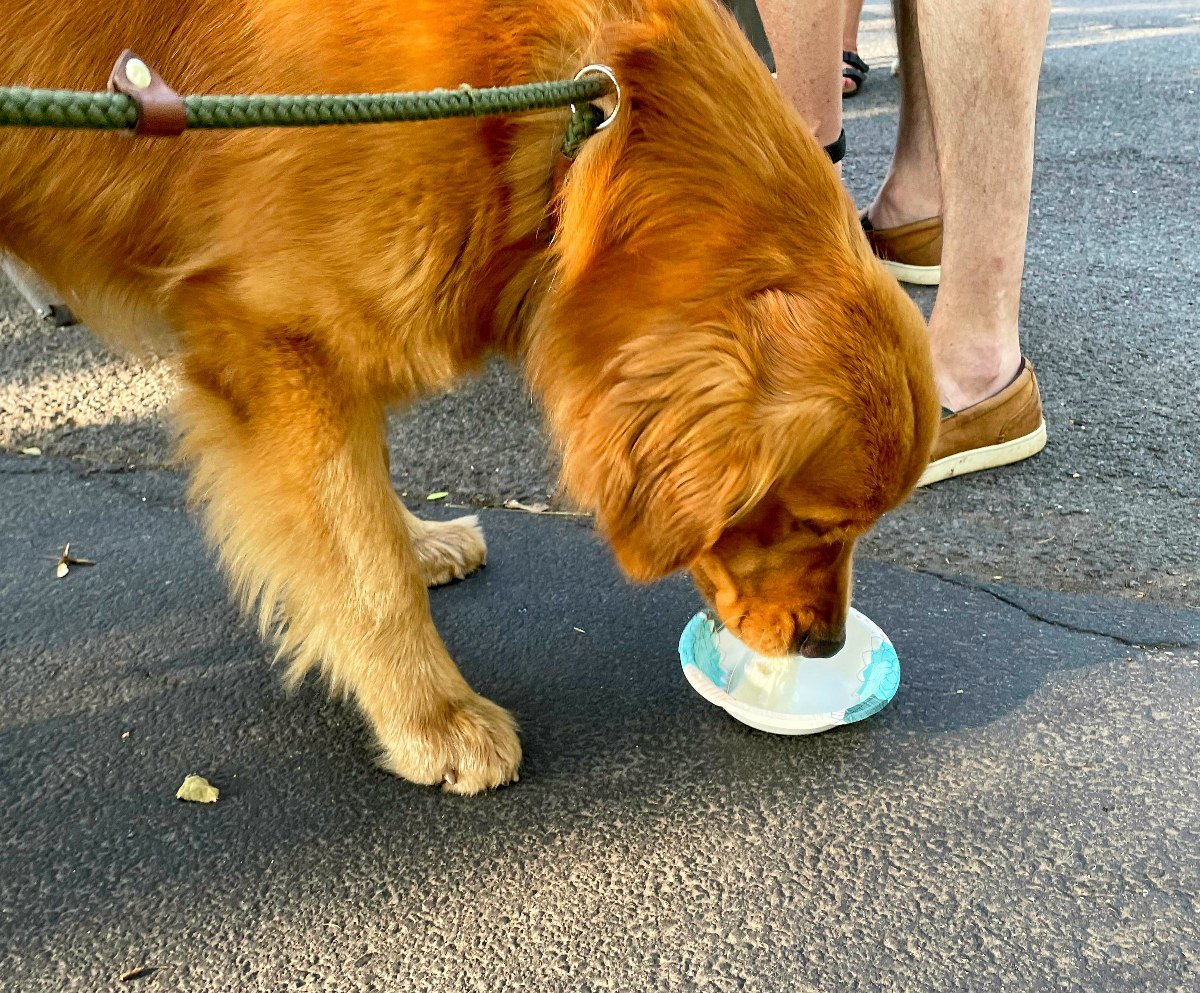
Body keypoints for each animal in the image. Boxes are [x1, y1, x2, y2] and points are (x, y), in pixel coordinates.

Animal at [0, 0, 936, 791]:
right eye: (814, 523)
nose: (827, 645)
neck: (583, 132)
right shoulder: (279, 339)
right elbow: (364, 562)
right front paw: (431, 716)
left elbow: (367, 497)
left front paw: (418, 539)